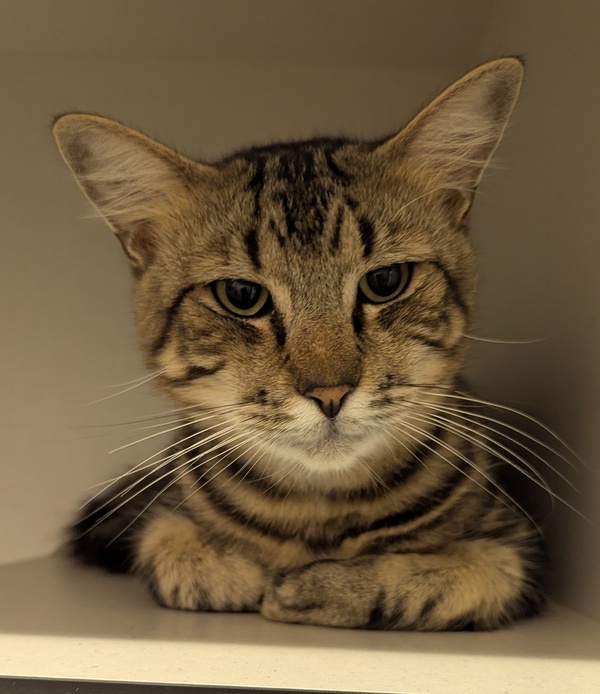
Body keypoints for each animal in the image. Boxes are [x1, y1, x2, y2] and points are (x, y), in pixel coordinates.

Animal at [53, 57, 547, 630]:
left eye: (386, 281)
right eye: (241, 295)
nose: (330, 394)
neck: (317, 516)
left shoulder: (515, 550)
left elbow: (439, 576)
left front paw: (310, 588)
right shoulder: (167, 521)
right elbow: (174, 552)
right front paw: (242, 574)